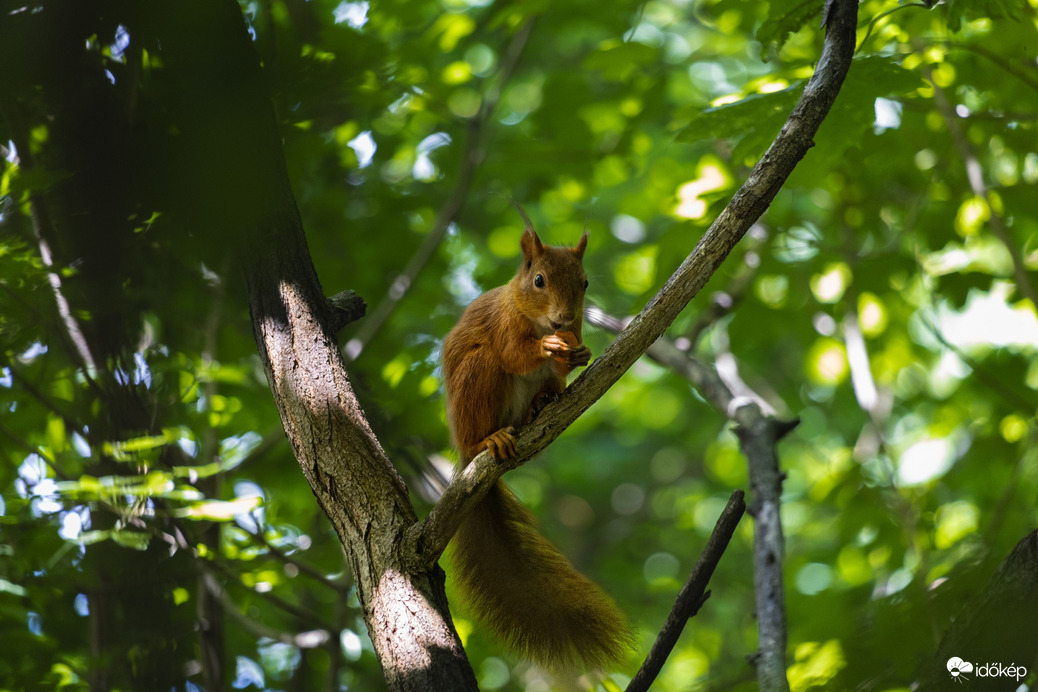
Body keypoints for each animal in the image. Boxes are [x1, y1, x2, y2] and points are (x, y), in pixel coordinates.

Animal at [442, 214, 626, 672]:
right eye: (539, 280)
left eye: (585, 282)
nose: (563, 319)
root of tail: (464, 457)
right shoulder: (505, 324)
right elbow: (514, 352)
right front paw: (545, 346)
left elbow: (565, 358)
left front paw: (578, 354)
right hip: (477, 377)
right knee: (489, 384)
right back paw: (491, 438)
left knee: (545, 387)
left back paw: (540, 406)